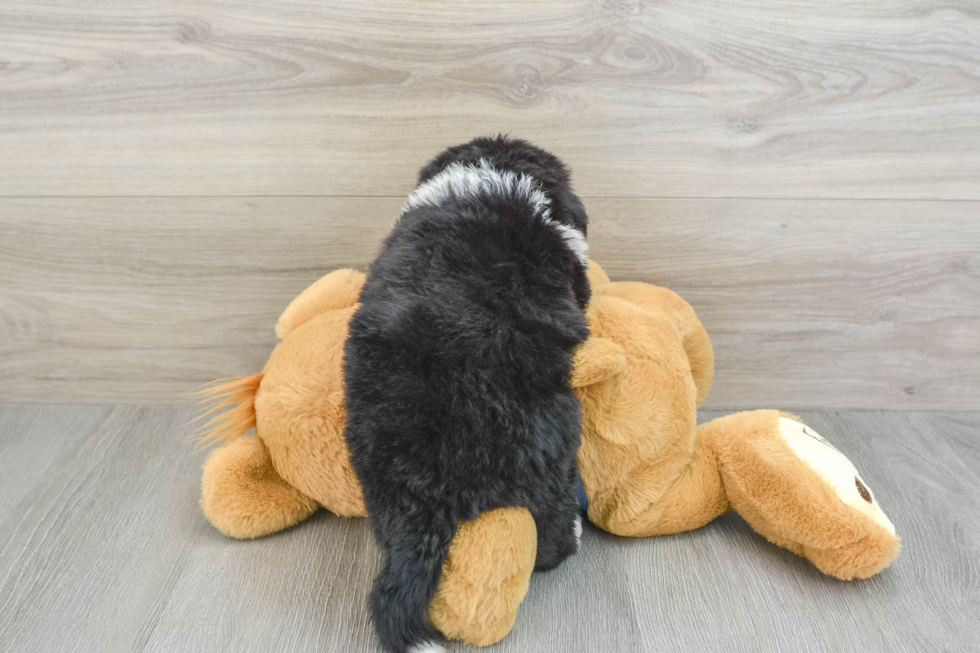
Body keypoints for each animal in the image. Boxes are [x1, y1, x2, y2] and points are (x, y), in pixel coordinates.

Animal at [344, 136, 588, 652]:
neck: (491, 176)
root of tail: (426, 488)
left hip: (375, 478)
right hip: (553, 450)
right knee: (549, 536)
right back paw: (572, 535)